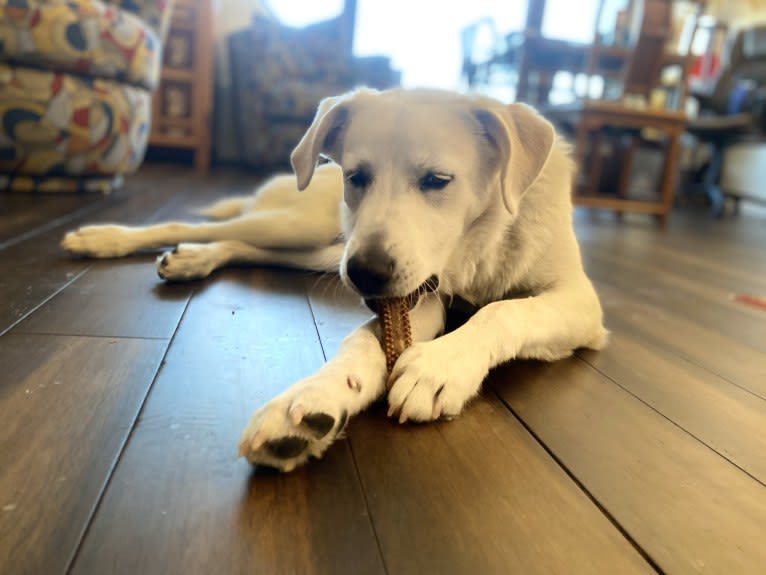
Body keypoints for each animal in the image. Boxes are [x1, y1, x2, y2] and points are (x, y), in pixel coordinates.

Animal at [63, 88, 608, 470]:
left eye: (437, 181)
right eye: (357, 176)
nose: (366, 274)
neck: (479, 249)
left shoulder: (579, 302)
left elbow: (504, 310)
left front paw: (440, 365)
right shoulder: (418, 294)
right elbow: (361, 343)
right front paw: (315, 396)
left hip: (321, 251)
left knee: (244, 245)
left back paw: (191, 260)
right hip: (308, 230)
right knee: (203, 225)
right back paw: (105, 238)